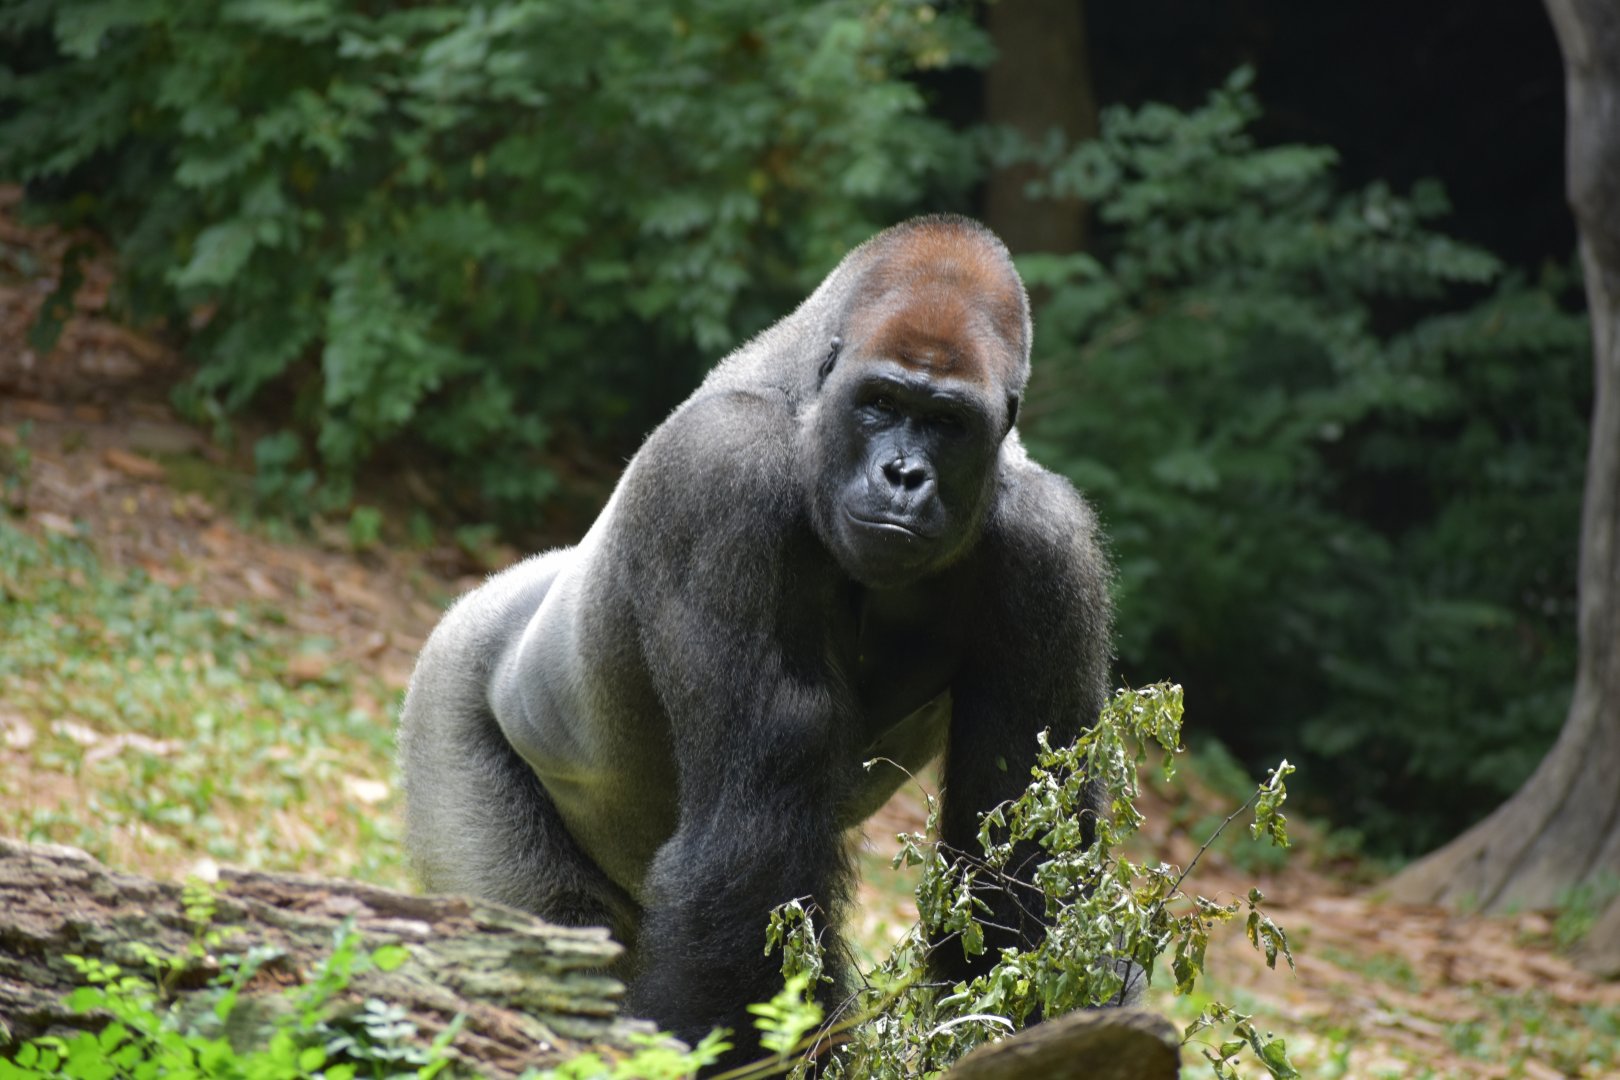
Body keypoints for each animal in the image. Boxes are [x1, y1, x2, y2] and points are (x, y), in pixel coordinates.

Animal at [397, 214, 1114, 1060]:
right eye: (880, 403)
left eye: (949, 423)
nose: (904, 476)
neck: (808, 406)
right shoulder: (723, 476)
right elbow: (755, 833)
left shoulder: (1052, 550)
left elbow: (1021, 852)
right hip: (448, 704)